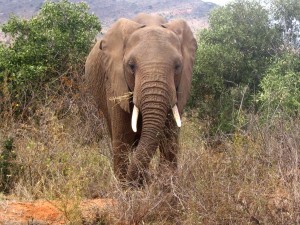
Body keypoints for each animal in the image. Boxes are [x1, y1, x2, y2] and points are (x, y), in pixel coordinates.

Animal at [84, 12, 197, 186]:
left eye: (178, 66)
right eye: (131, 66)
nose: (136, 182)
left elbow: (169, 140)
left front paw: (164, 189)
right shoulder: (114, 81)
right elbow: (122, 139)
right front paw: (125, 190)